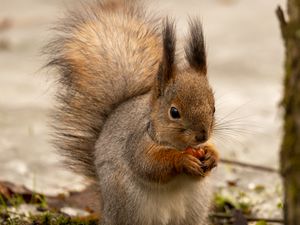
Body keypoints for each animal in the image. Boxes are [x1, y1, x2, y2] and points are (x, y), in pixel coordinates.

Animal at [47, 0, 219, 225]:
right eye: (174, 112)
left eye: (214, 108)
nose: (202, 136)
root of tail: (105, 209)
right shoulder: (137, 142)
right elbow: (150, 165)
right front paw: (183, 160)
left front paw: (212, 156)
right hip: (129, 205)